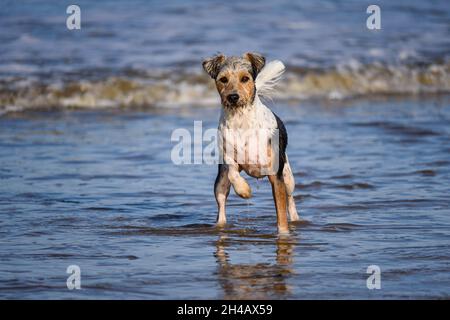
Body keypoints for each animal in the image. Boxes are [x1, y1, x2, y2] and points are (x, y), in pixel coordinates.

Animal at [203, 52, 298, 232]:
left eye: (245, 78)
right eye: (223, 79)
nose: (233, 97)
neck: (241, 119)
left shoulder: (276, 174)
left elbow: (281, 211)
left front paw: (283, 233)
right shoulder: (228, 158)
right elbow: (233, 174)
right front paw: (244, 191)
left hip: (288, 175)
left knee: (290, 199)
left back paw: (296, 219)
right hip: (220, 182)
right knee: (221, 204)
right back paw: (220, 224)